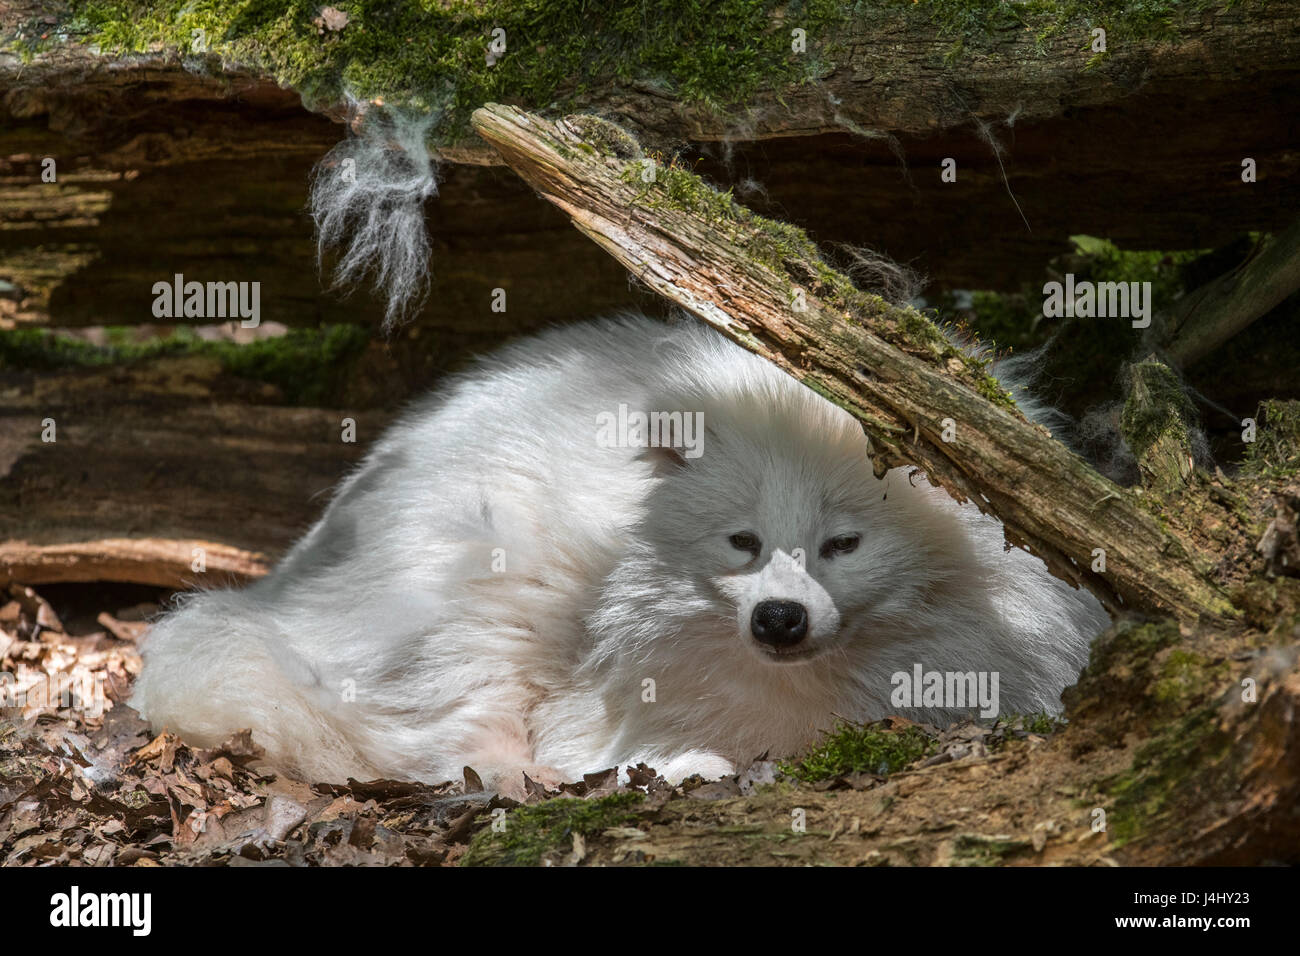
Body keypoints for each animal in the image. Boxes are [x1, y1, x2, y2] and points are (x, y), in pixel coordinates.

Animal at [129, 312, 1107, 790]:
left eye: (843, 545)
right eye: (742, 542)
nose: (779, 620)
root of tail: (284, 587)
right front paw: (678, 760)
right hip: (481, 579)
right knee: (434, 741)